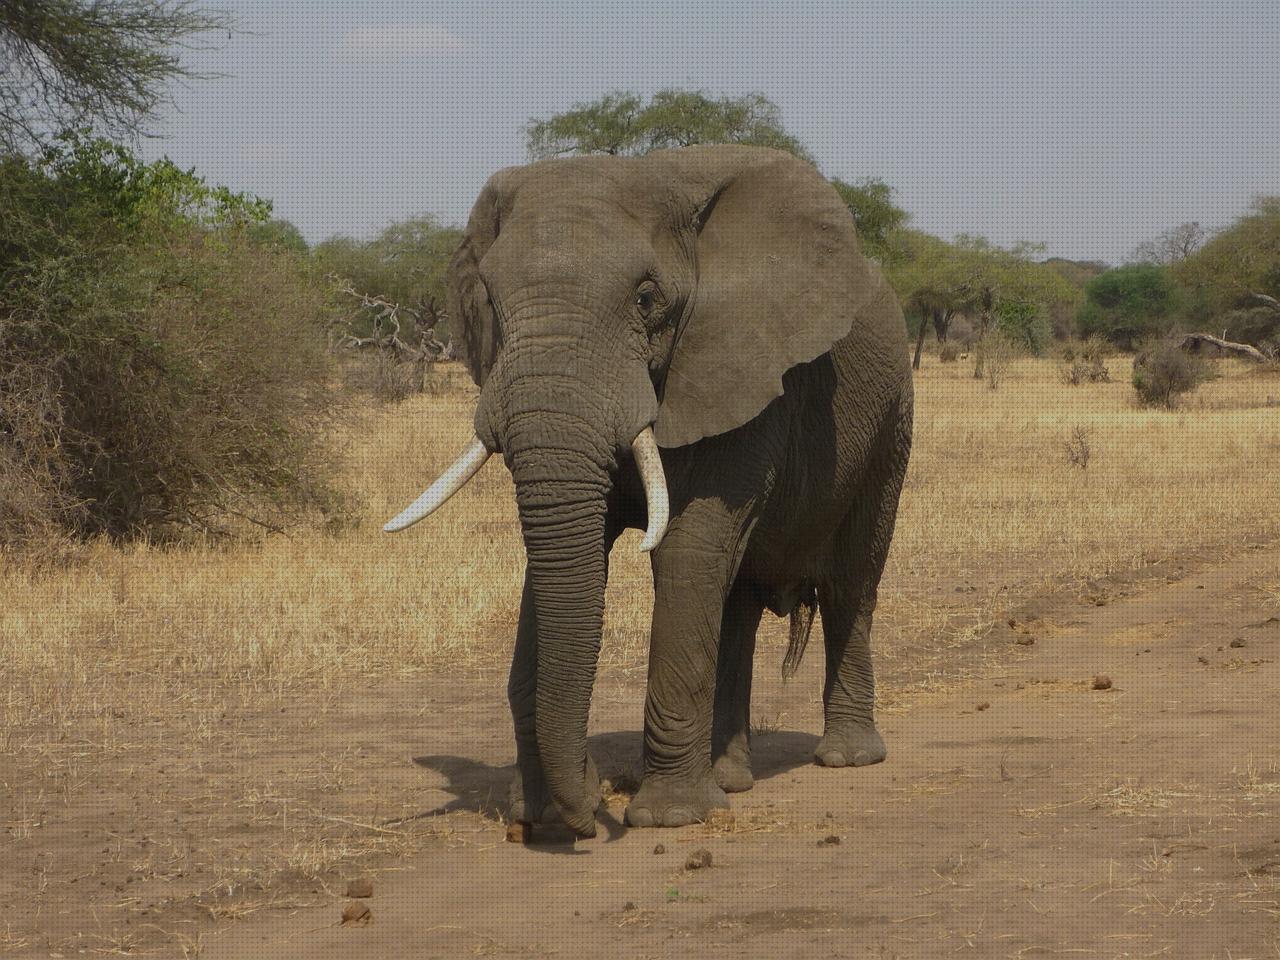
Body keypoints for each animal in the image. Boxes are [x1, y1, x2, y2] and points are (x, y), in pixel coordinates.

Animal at [384, 142, 916, 834]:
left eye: (645, 298)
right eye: (492, 304)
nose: (588, 808)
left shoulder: (739, 369)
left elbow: (686, 550)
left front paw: (670, 818)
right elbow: (564, 557)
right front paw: (542, 817)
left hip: (892, 415)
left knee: (852, 579)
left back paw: (846, 758)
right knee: (737, 602)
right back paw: (730, 779)